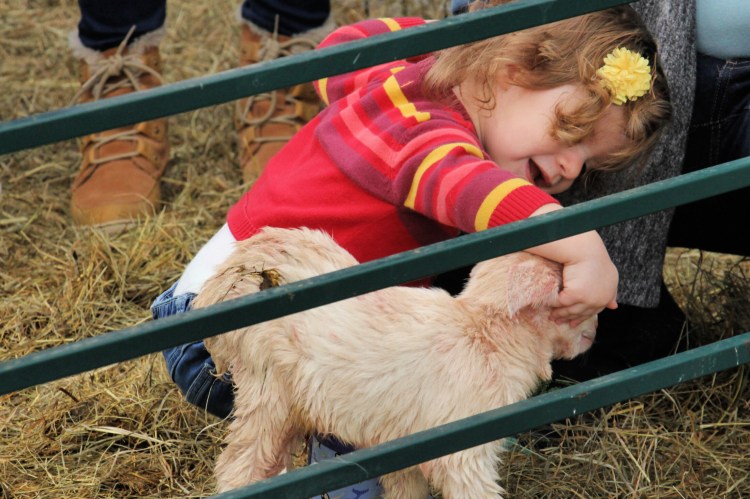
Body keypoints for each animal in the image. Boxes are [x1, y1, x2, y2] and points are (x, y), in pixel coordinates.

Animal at [197, 228, 596, 499]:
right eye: (571, 304)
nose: (595, 331)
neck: (485, 335)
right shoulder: (465, 453)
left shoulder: (406, 443)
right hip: (268, 394)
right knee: (238, 468)